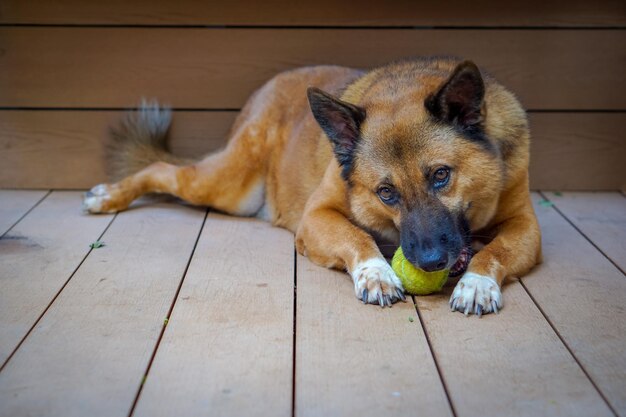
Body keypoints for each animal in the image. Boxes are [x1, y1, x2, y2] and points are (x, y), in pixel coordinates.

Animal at [83, 57, 540, 316]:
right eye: (386, 193)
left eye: (441, 175)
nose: (429, 263)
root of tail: (268, 86)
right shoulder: (316, 216)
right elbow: (357, 236)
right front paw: (376, 272)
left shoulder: (527, 227)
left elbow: (497, 250)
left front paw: (477, 283)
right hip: (227, 188)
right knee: (162, 168)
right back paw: (108, 196)